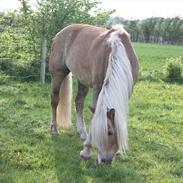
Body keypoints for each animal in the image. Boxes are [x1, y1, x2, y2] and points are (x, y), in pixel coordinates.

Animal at [49, 23, 139, 164]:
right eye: (106, 132)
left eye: (110, 132)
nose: (105, 160)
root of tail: (61, 32)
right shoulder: (97, 88)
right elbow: (94, 116)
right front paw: (86, 151)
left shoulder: (127, 93)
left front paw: (118, 151)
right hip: (58, 74)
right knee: (55, 100)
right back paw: (54, 129)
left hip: (82, 80)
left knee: (79, 102)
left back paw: (82, 132)